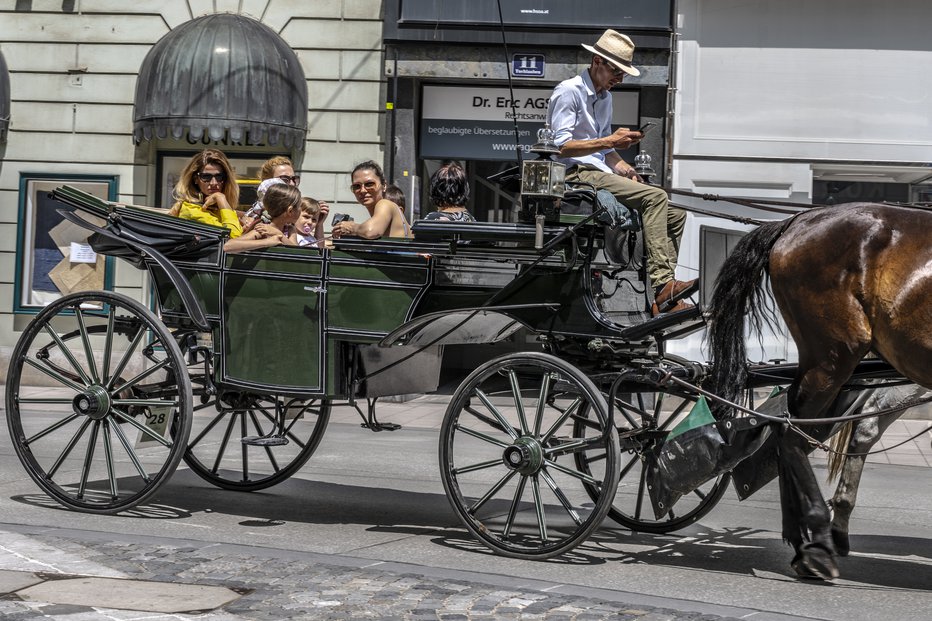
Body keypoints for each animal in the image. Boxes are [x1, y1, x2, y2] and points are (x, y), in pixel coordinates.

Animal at [708, 201, 932, 580]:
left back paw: (806, 538)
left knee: (794, 429)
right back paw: (818, 543)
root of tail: (797, 221)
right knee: (792, 434)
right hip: (832, 357)